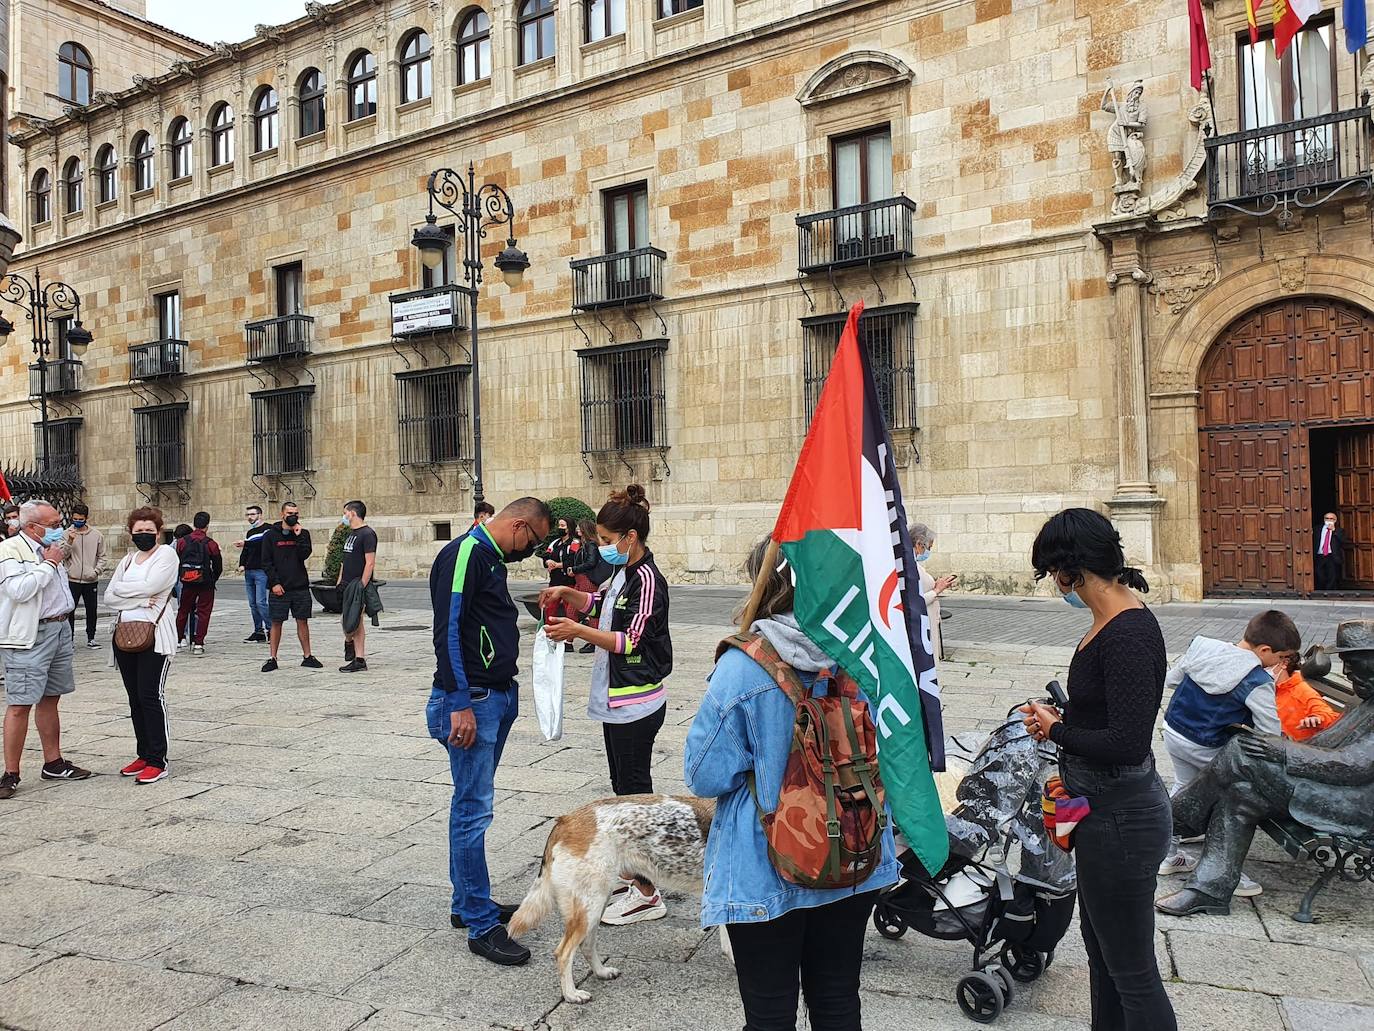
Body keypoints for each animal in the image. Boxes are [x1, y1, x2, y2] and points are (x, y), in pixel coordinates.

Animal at [508, 797, 719, 1006]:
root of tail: (564, 820)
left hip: (596, 904)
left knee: (586, 945)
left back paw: (601, 972)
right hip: (589, 908)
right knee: (563, 953)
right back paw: (571, 994)